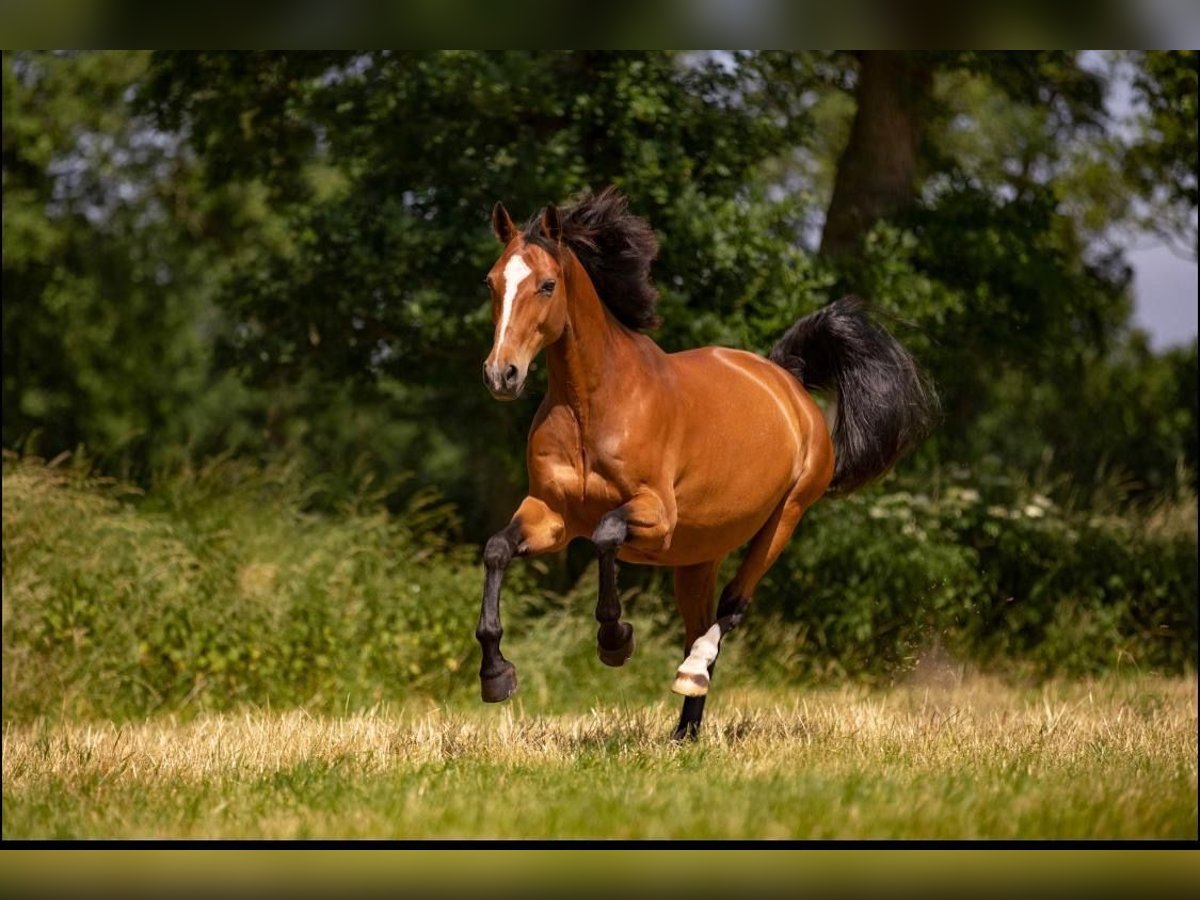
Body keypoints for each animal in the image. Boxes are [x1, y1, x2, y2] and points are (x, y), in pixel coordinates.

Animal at [472, 184, 931, 739]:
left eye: (546, 284)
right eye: (492, 281)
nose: (502, 374)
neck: (592, 406)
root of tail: (787, 381)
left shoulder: (656, 516)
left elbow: (605, 534)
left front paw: (615, 639)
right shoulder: (551, 516)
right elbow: (497, 549)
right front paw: (496, 674)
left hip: (784, 518)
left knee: (732, 607)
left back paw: (690, 674)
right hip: (697, 557)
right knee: (699, 622)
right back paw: (684, 733)